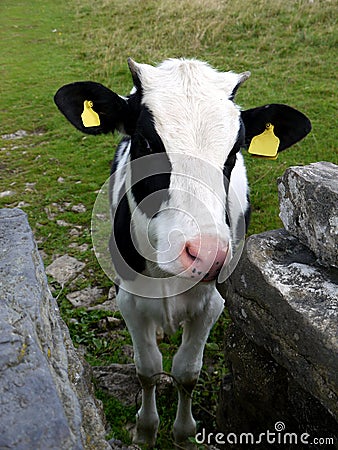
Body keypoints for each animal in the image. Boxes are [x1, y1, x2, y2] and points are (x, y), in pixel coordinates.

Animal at [55, 58, 312, 448]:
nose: (206, 253)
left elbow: (187, 372)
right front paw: (147, 429)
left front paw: (183, 432)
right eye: (145, 142)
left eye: (234, 152)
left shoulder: (214, 301)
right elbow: (147, 368)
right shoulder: (127, 297)